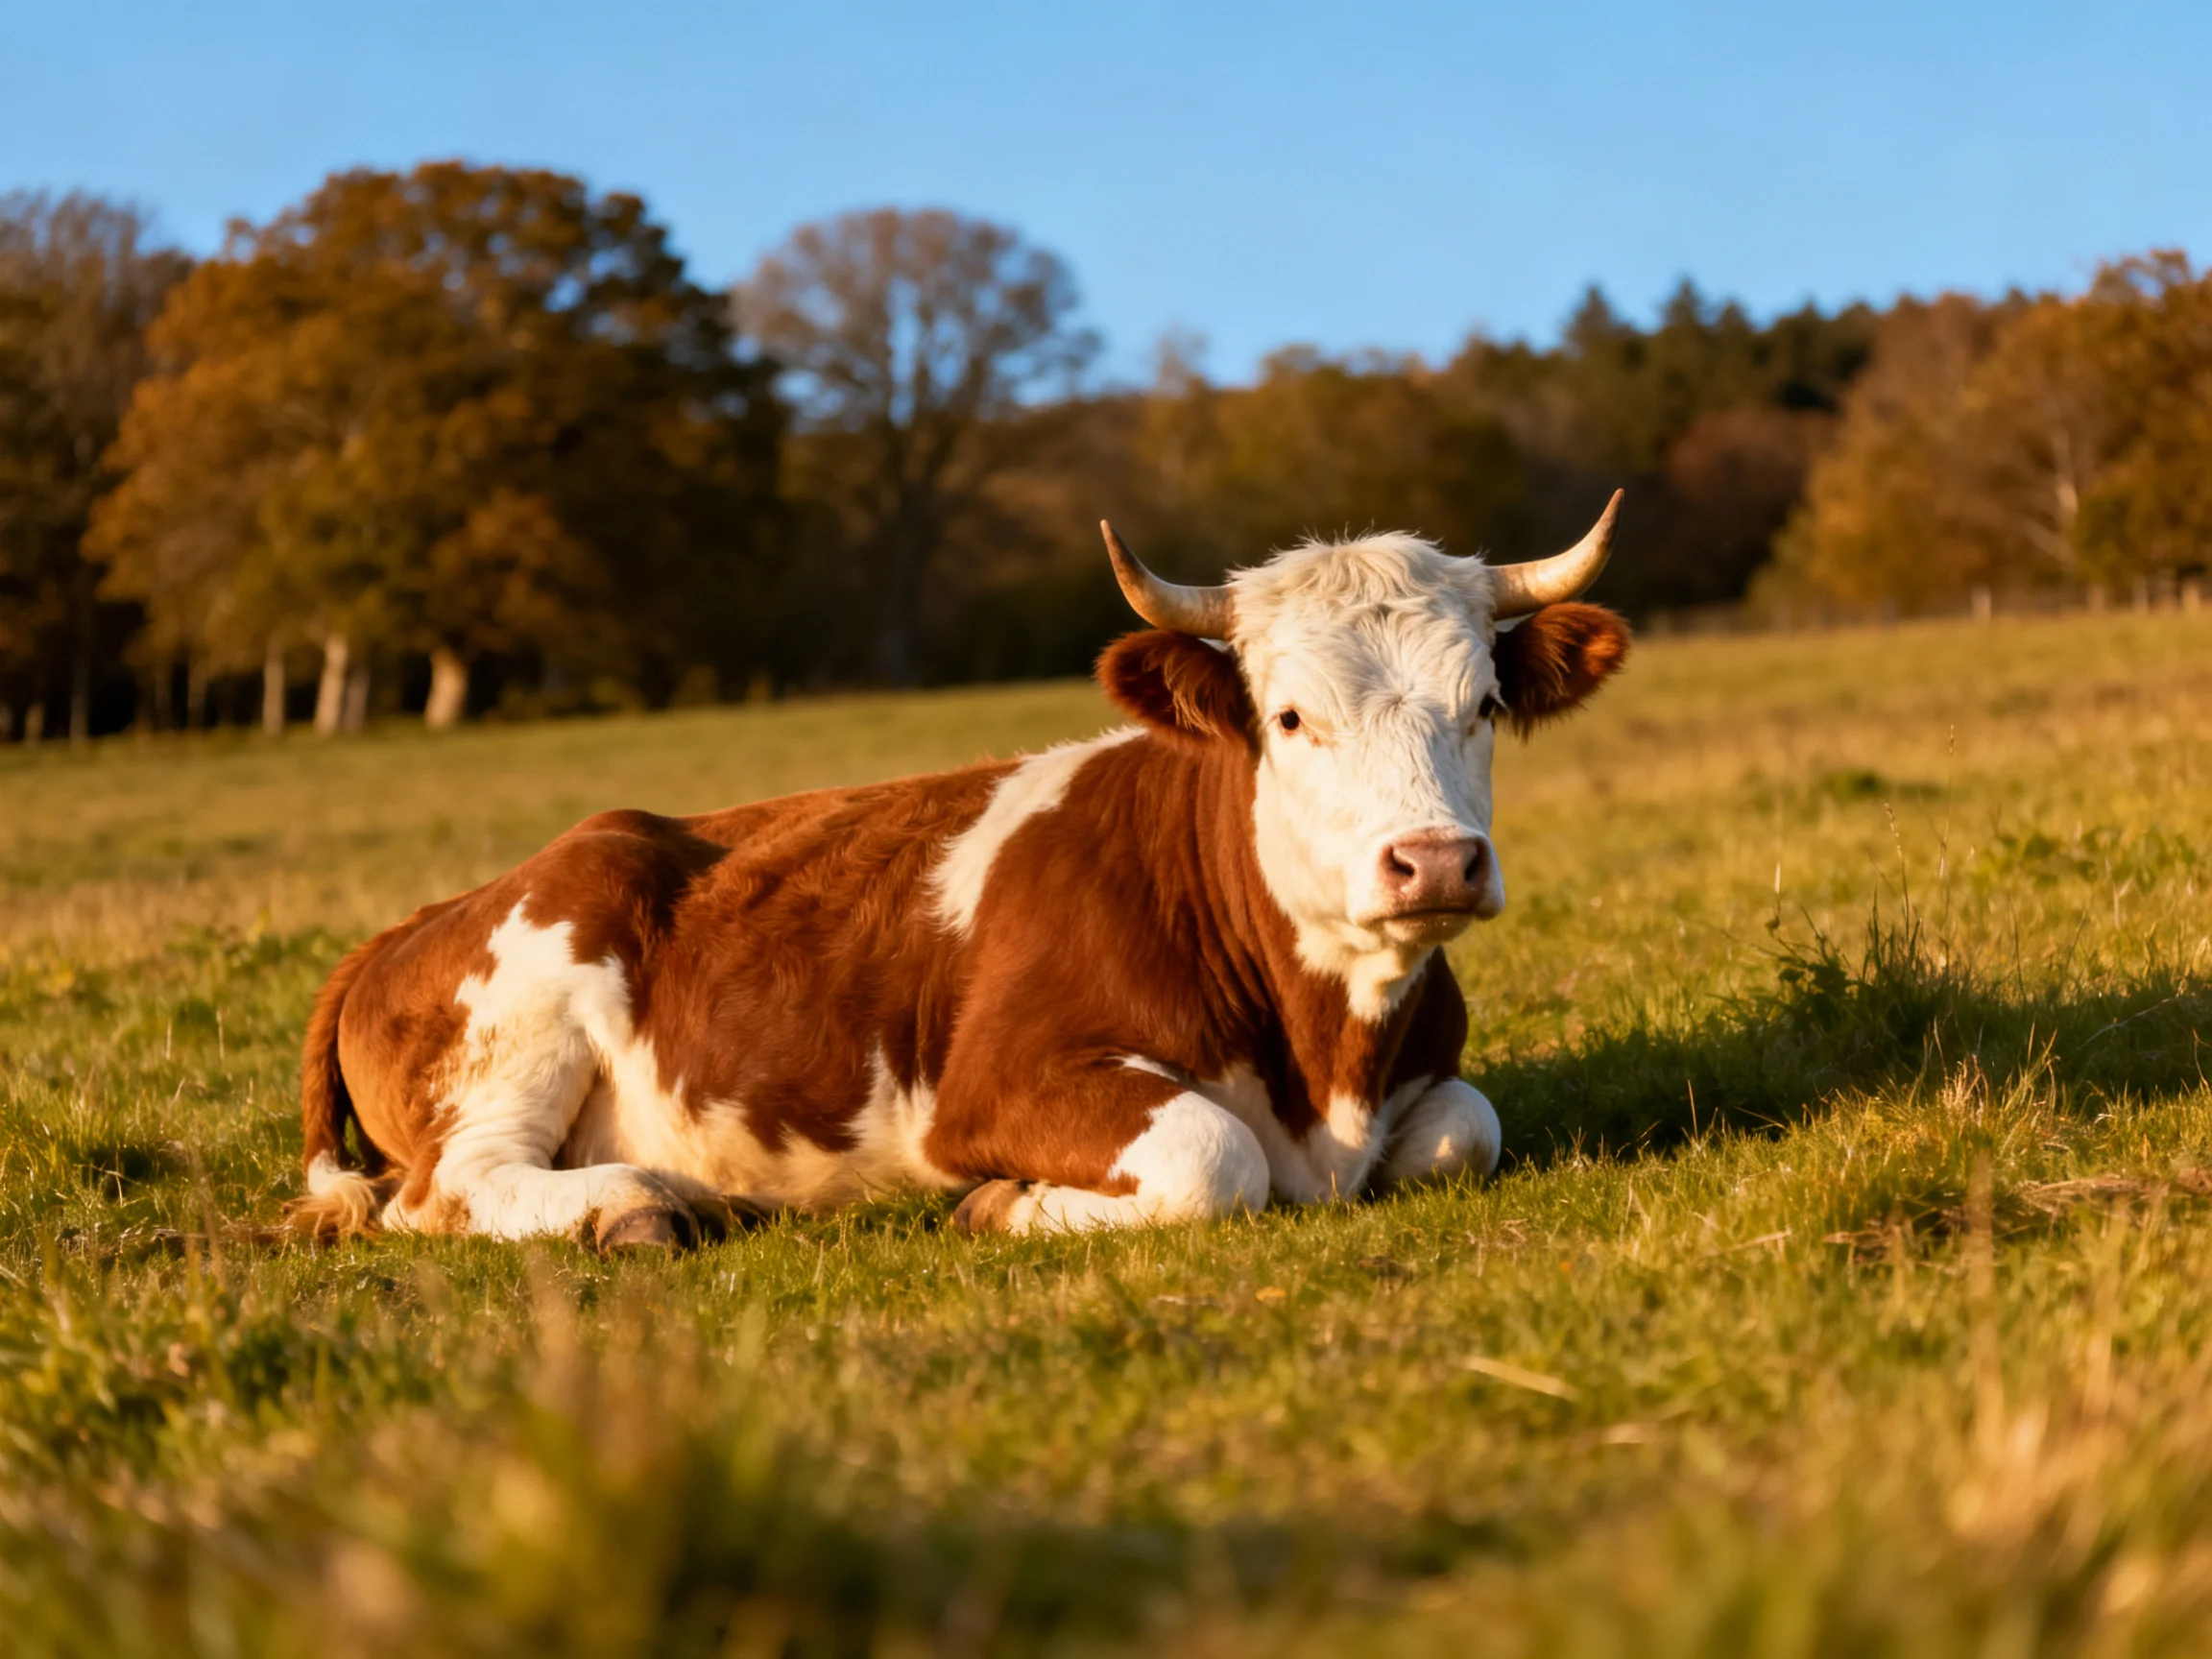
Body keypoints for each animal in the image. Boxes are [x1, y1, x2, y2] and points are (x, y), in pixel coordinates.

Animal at [288, 498, 1631, 1248]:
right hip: (528, 1004)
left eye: (1483, 703)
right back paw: (643, 1202)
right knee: (446, 1191)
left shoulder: (1430, 1083)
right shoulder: (992, 1086)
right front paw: (998, 1206)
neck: (1325, 1063)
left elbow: (1466, 1127)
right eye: (1292, 717)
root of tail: (413, 921)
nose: (1434, 861)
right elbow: (1213, 1157)